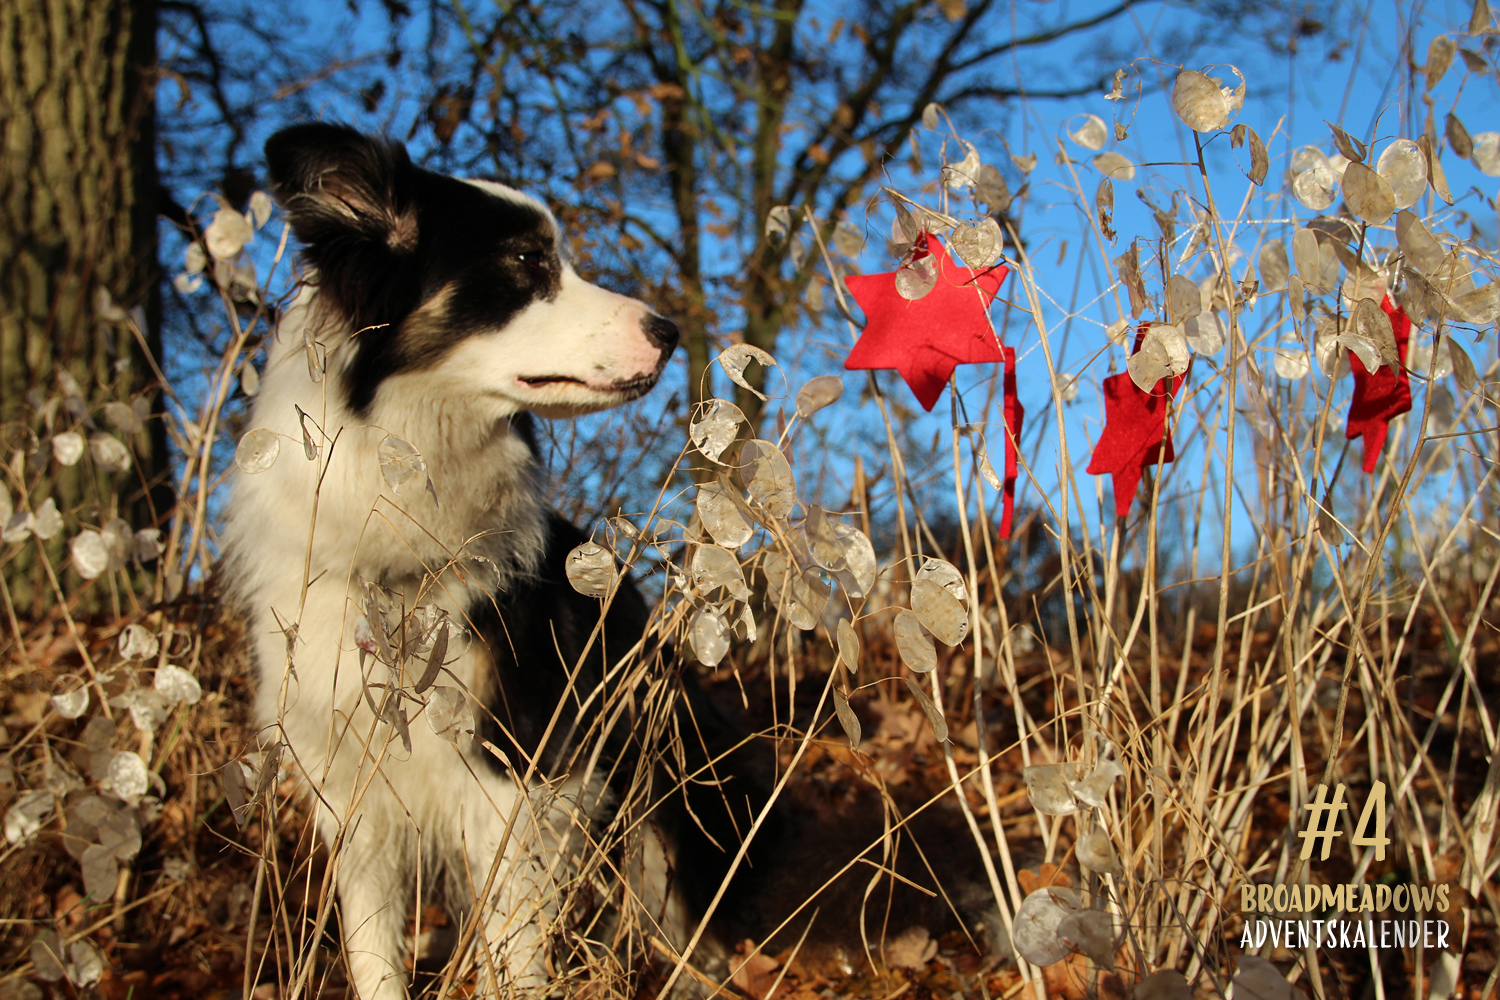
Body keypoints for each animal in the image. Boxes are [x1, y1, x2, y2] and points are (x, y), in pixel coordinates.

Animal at [228, 122, 1008, 1000]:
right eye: (527, 260)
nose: (667, 331)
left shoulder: (518, 773)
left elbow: (515, 955)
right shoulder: (350, 789)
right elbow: (373, 955)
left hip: (675, 773)